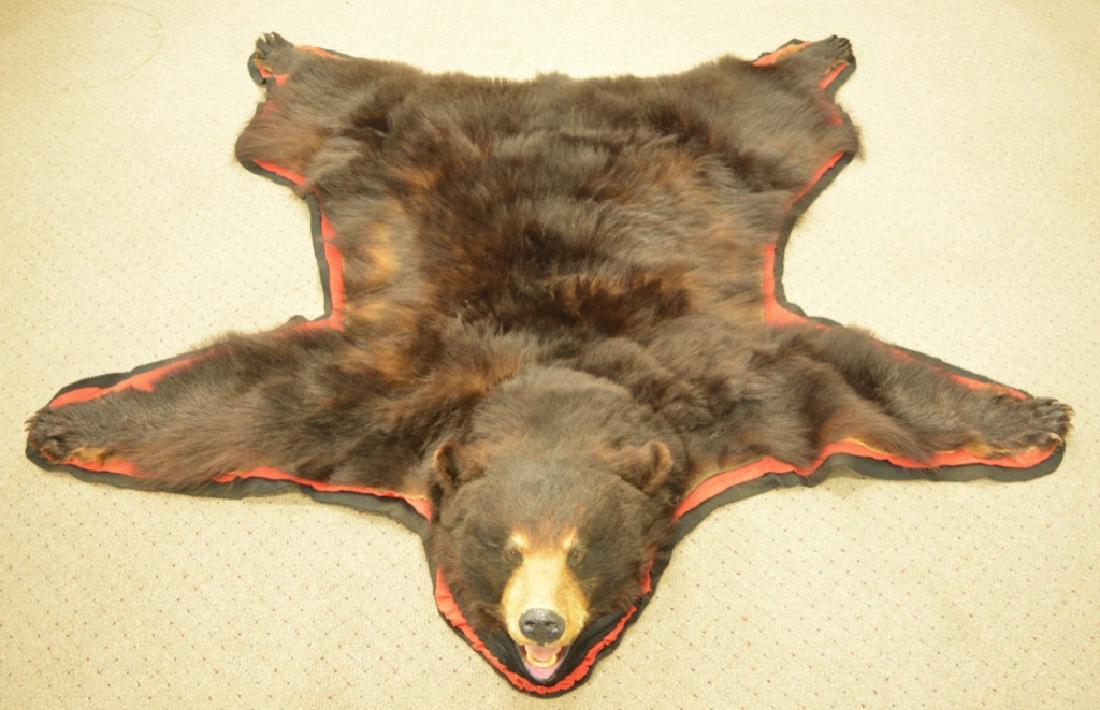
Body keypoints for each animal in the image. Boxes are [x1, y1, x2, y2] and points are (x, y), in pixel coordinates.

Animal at [27, 34, 1072, 684]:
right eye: (503, 545)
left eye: (583, 548)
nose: (540, 625)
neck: (557, 384)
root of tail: (551, 88)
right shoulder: (390, 394)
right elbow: (254, 394)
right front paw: (64, 420)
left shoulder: (725, 384)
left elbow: (846, 376)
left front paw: (1034, 415)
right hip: (375, 135)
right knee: (324, 104)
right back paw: (282, 52)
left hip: (729, 148)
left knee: (769, 108)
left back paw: (817, 54)